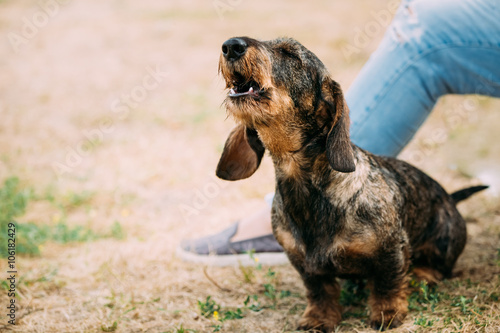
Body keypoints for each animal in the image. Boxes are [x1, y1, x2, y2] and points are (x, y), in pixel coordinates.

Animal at [216, 36, 488, 330]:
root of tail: (450, 198)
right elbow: (319, 290)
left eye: (291, 54)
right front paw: (319, 318)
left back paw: (422, 276)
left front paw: (387, 312)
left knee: (437, 266)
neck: (307, 189)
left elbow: (387, 283)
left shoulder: (391, 249)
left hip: (443, 239)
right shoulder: (303, 263)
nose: (231, 45)